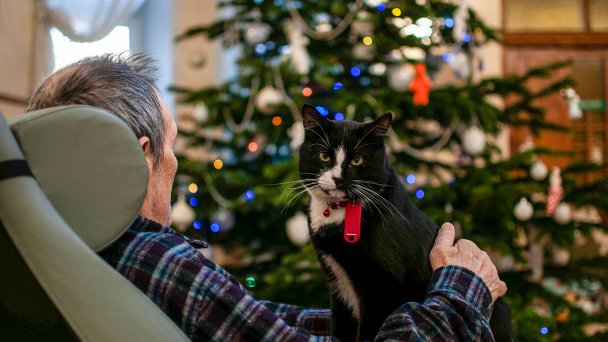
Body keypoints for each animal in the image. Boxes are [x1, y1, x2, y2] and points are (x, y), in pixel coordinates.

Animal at [298, 105, 512, 342]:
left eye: (357, 160)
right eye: (324, 155)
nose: (338, 179)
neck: (339, 211)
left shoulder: (384, 288)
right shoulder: (338, 284)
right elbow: (340, 328)